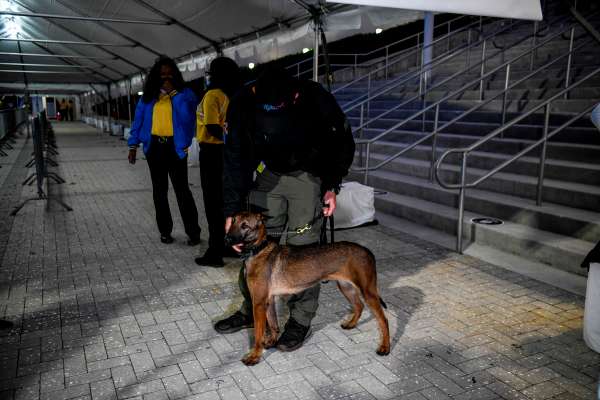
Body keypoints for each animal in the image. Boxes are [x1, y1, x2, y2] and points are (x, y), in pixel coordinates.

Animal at [224, 212, 390, 366]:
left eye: (245, 226)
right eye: (233, 221)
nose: (227, 239)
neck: (259, 250)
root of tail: (367, 251)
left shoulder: (258, 303)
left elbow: (258, 334)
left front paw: (255, 355)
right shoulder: (268, 300)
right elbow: (273, 324)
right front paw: (271, 341)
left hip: (367, 292)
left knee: (383, 319)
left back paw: (385, 347)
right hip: (346, 287)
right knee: (359, 305)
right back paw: (351, 324)